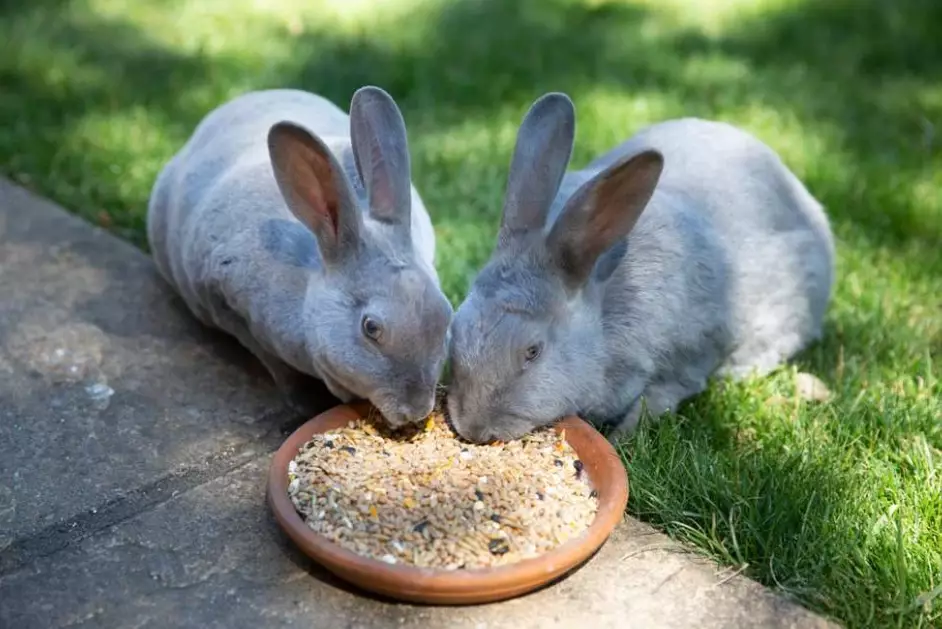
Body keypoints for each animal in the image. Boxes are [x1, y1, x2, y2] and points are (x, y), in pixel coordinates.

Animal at [147, 87, 453, 427]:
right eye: (371, 328)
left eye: (446, 315)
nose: (417, 410)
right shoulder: (226, 304)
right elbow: (280, 370)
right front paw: (306, 407)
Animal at [446, 93, 835, 443]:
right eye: (457, 328)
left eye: (533, 351)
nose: (473, 429)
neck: (603, 314)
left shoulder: (688, 359)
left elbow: (655, 402)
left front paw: (623, 441)